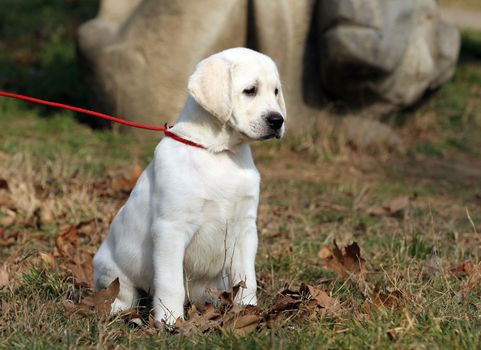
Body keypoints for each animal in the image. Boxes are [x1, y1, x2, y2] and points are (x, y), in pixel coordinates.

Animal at [93, 47, 284, 324]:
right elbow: (170, 283)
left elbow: (247, 278)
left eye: (276, 91)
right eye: (250, 90)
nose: (278, 120)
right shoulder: (171, 228)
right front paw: (170, 321)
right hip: (111, 268)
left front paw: (248, 310)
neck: (219, 151)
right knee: (125, 293)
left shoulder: (246, 229)